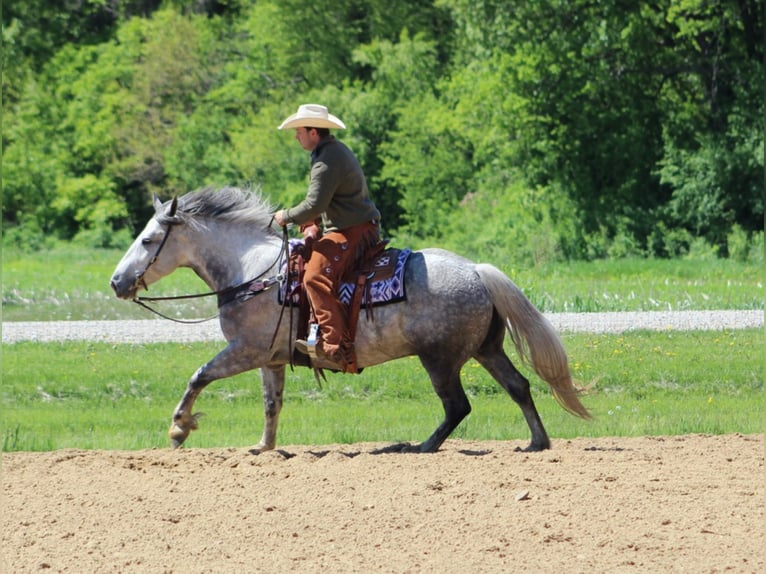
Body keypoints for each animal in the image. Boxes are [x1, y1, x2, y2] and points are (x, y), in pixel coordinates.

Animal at [109, 188, 588, 454]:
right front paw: (264, 447)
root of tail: (476, 271)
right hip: (485, 350)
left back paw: (418, 447)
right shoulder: (270, 358)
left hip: (440, 359)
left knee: (457, 406)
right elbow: (271, 403)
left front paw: (179, 428)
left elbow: (199, 376)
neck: (254, 272)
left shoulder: (244, 350)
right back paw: (537, 442)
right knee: (519, 387)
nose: (117, 281)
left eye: (148, 239)